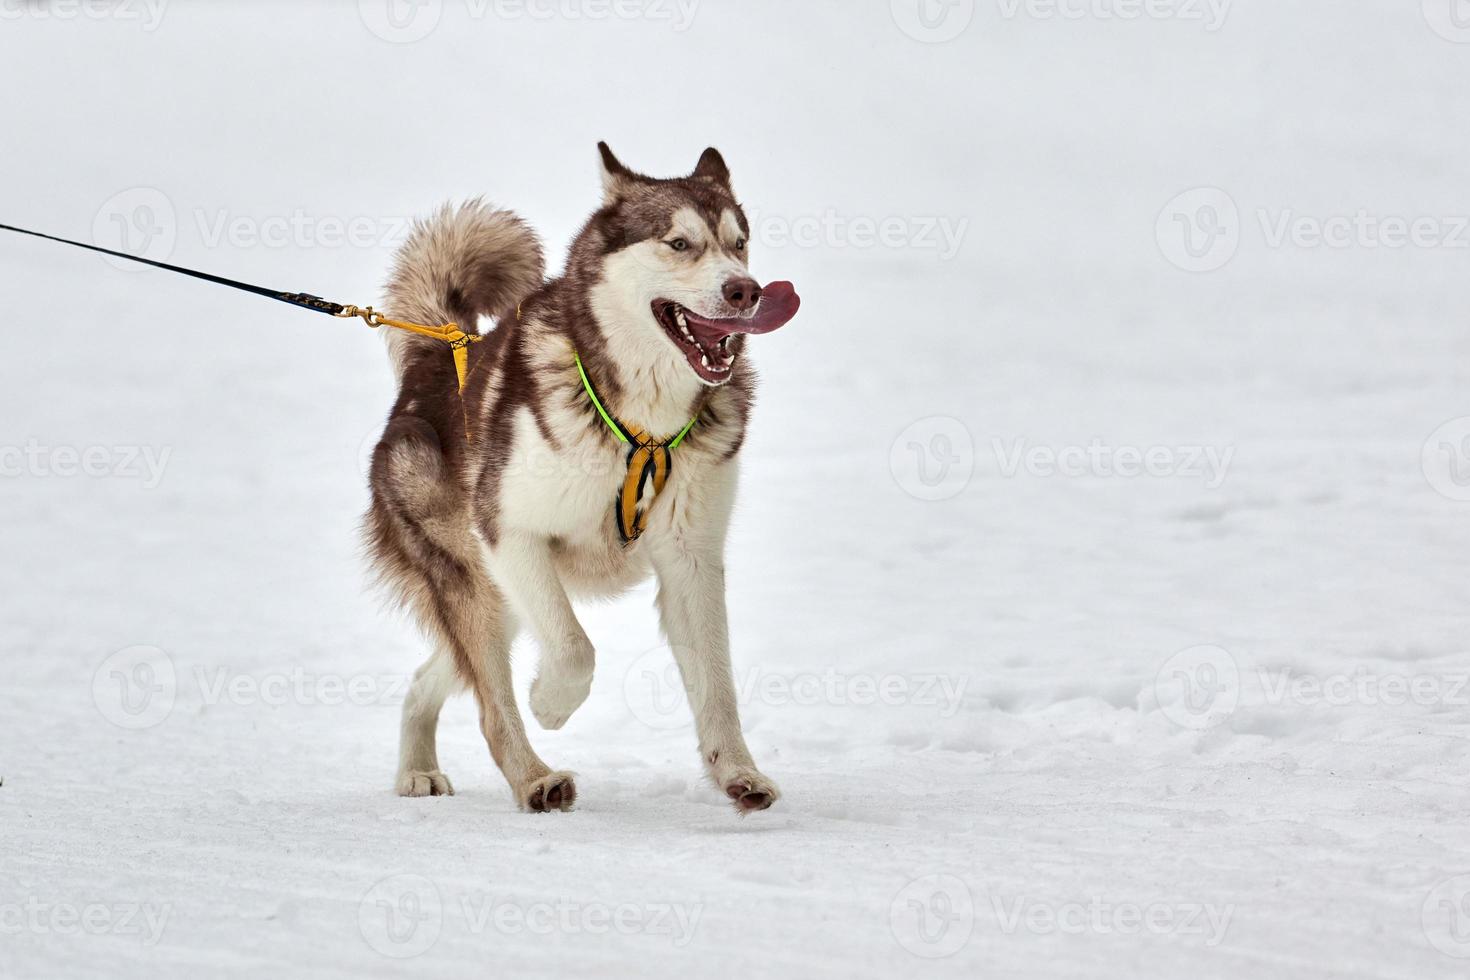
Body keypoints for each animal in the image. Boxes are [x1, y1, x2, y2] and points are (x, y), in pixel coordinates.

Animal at [367, 143, 805, 811]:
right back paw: (534, 779)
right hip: (479, 581)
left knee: (429, 676)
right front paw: (549, 702)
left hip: (502, 596)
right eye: (679, 243)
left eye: (740, 242)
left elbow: (717, 684)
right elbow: (575, 650)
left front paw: (737, 773)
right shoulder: (510, 532)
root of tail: (436, 355)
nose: (745, 290)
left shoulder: (692, 556)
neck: (643, 424)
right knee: (491, 704)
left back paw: (418, 769)